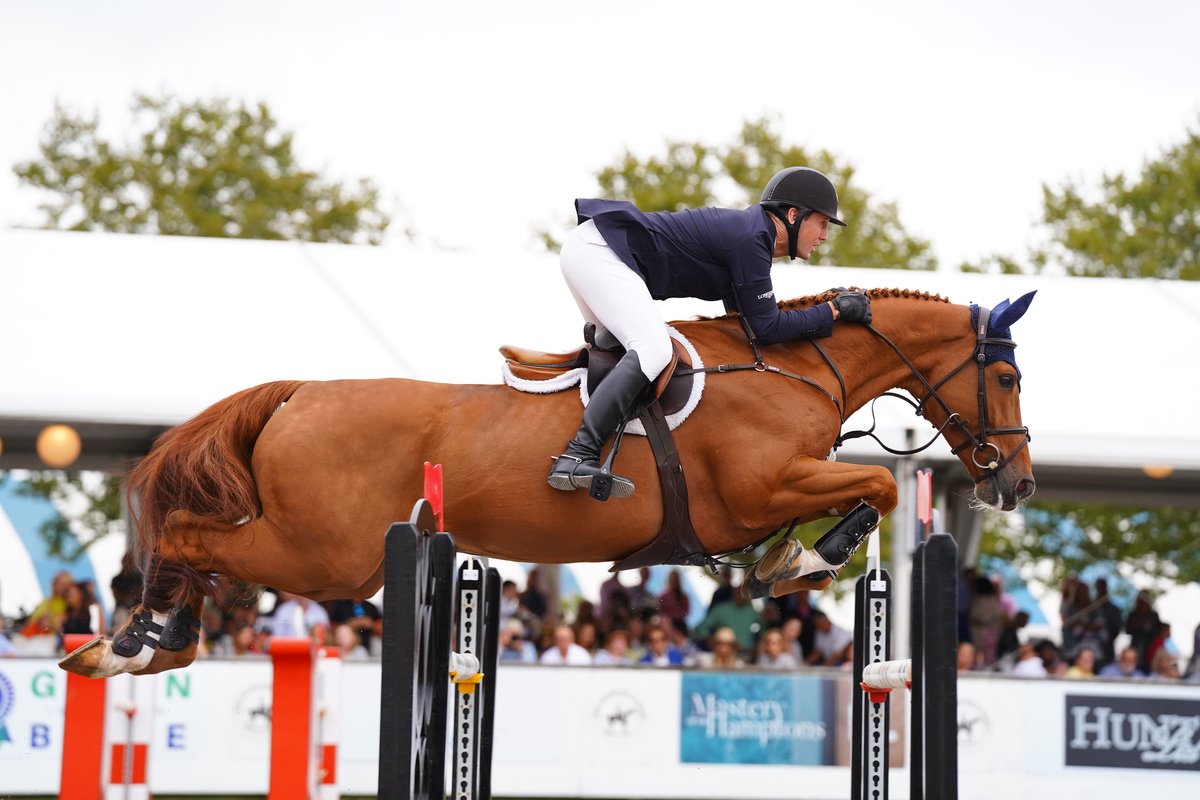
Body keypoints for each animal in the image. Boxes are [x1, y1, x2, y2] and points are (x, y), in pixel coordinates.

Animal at [60, 287, 1036, 678]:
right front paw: (802, 561)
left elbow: (867, 490)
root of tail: (298, 392)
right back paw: (134, 641)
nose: (1019, 483)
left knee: (200, 544)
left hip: (338, 559)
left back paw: (152, 643)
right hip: (325, 558)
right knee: (189, 536)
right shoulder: (758, 492)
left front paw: (788, 562)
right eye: (1009, 376)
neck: (792, 367)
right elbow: (877, 492)